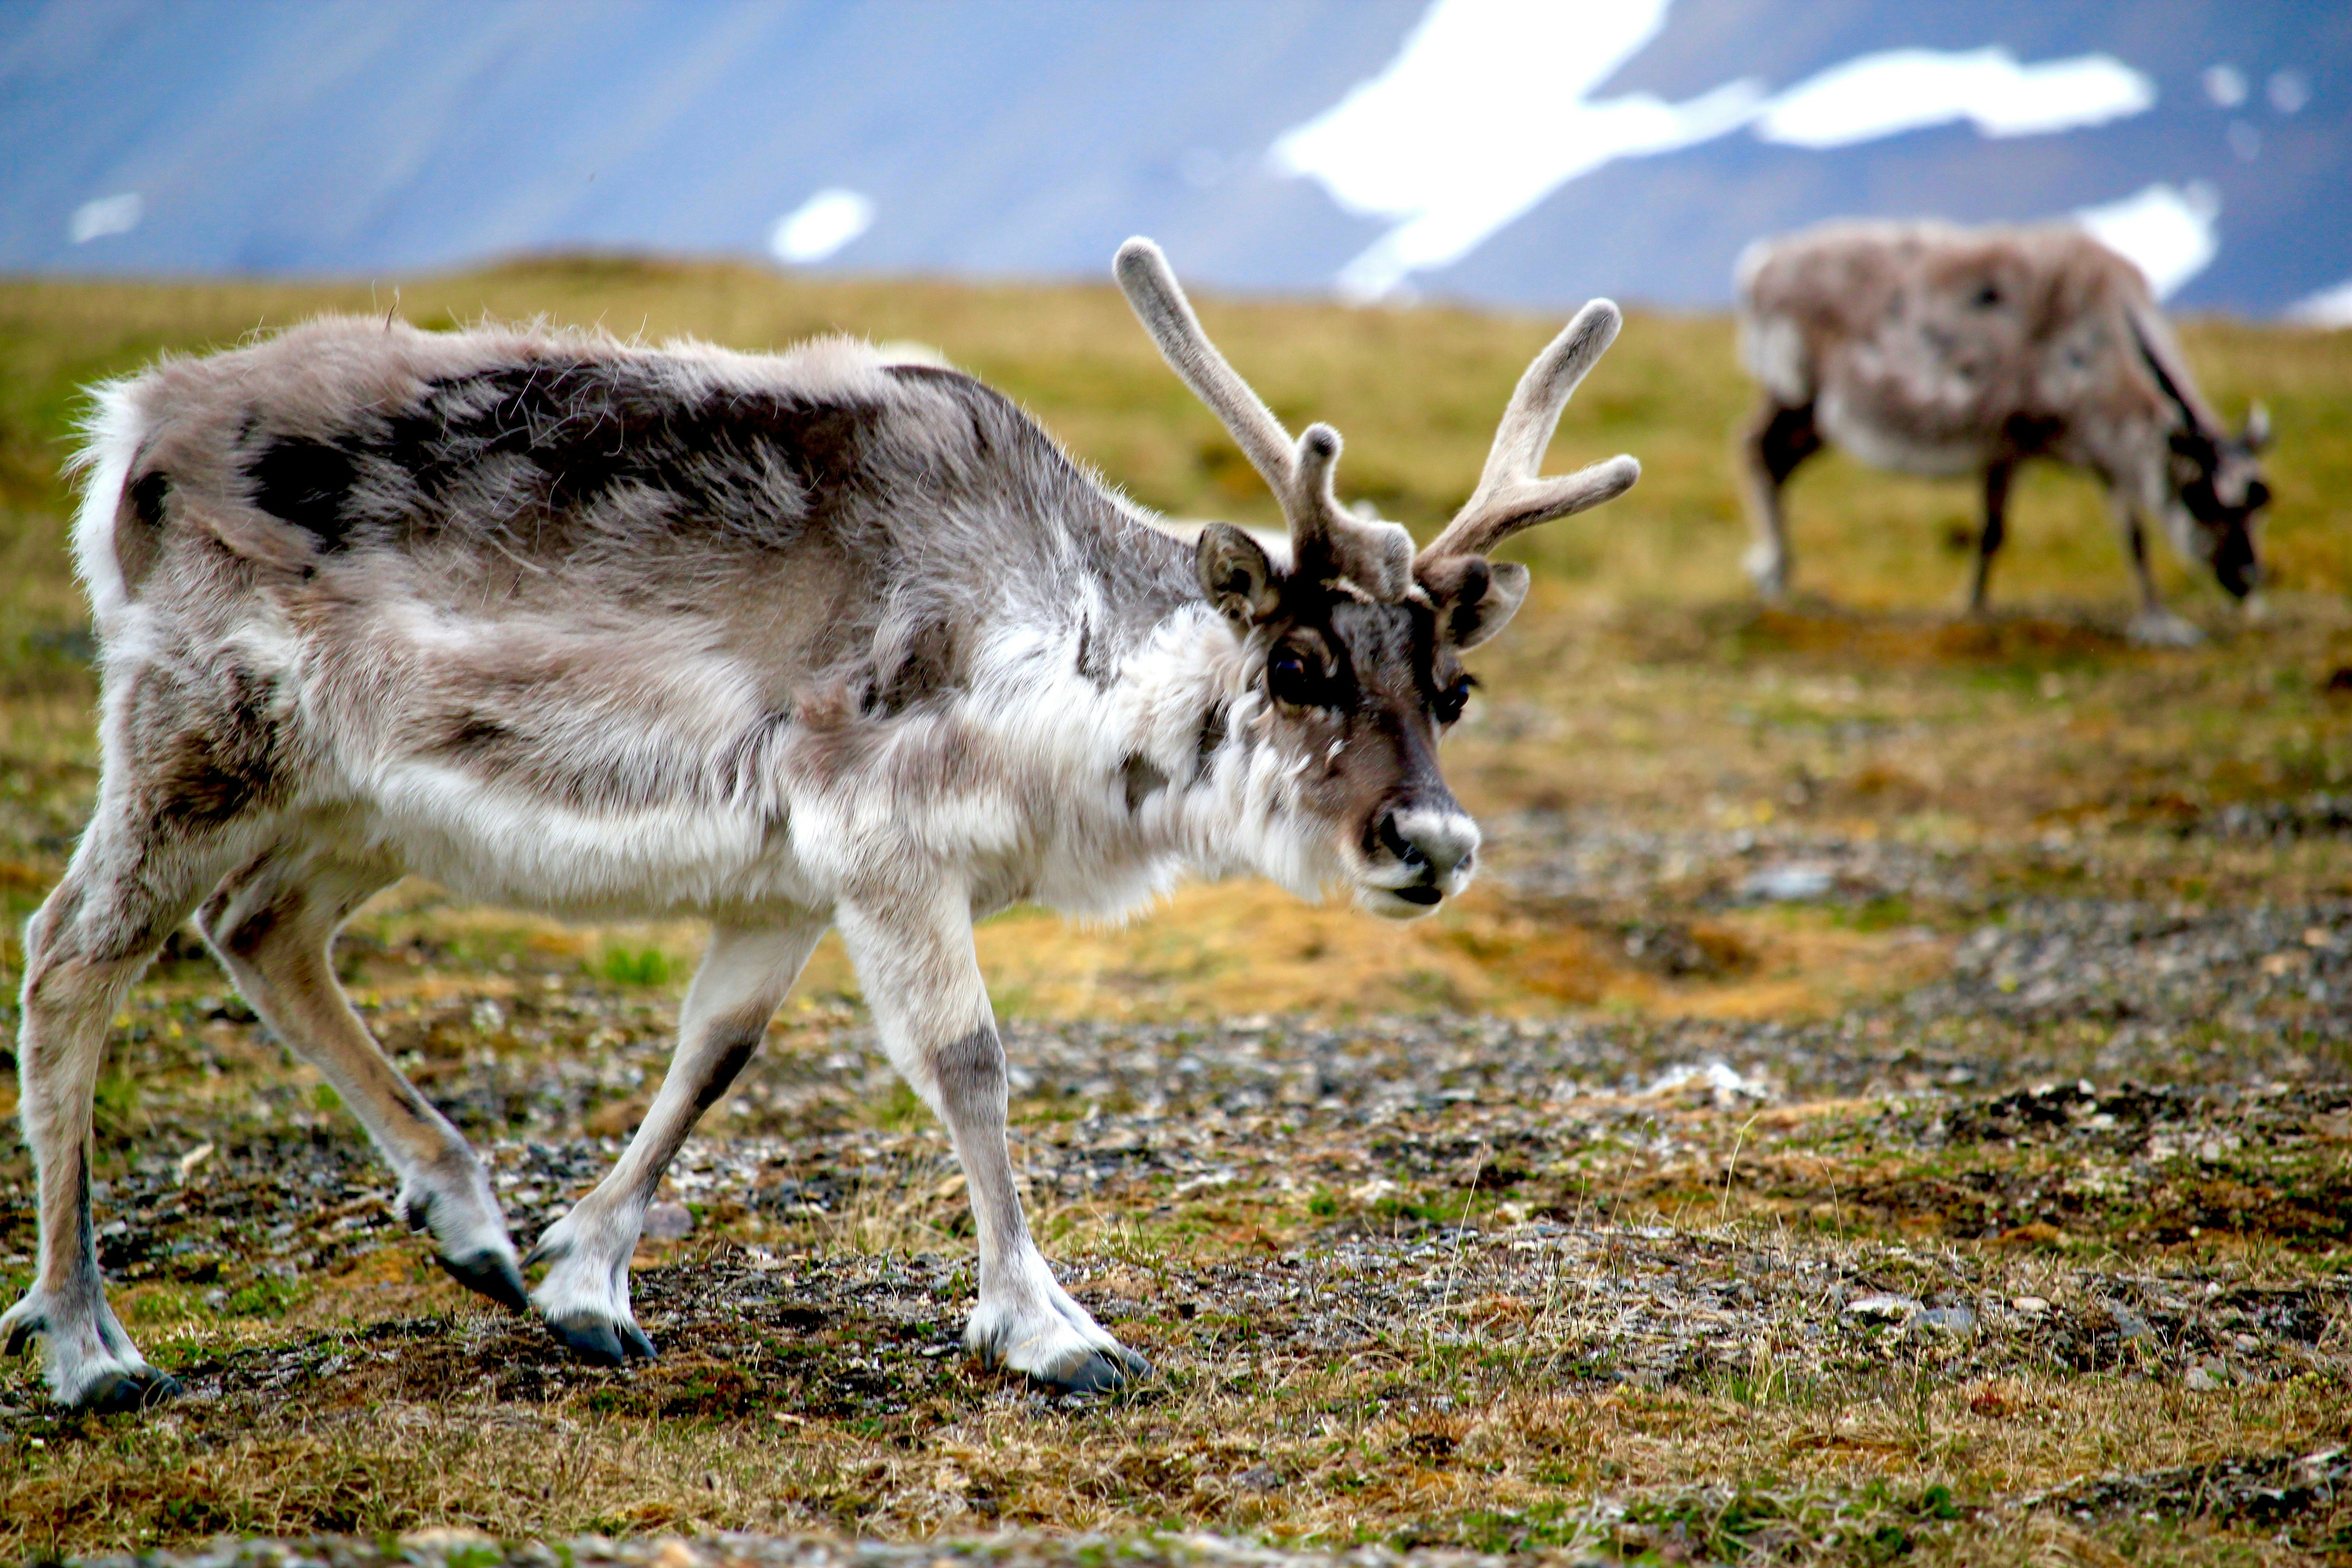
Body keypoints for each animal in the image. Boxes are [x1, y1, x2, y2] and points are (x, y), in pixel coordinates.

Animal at [5, 241, 1638, 1410]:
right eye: (1298, 667)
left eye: (1454, 684)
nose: (1431, 843)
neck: (1052, 651)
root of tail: (131, 429)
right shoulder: (882, 835)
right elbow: (967, 1063)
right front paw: (1048, 1326)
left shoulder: (786, 879)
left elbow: (713, 1050)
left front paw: (582, 1278)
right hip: (197, 734)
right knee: (75, 953)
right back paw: (89, 1341)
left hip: (354, 802)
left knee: (258, 929)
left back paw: (465, 1214)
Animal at [1736, 220, 2269, 646]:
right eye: (2199, 496)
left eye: (2256, 503)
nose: (2248, 577)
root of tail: (1759, 268)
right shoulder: (2073, 443)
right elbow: (2133, 535)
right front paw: (2159, 623)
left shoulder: (2018, 448)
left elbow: (1993, 531)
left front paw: (1974, 603)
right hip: (1796, 390)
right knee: (1756, 449)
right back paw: (1774, 570)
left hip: (1817, 415)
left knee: (1773, 460)